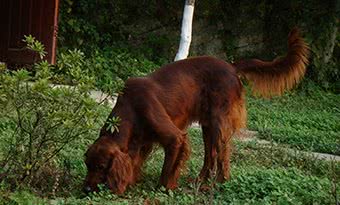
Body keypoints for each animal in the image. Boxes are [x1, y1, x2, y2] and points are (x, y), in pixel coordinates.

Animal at [83, 28, 308, 194]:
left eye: (101, 167)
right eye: (87, 165)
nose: (86, 189)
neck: (130, 108)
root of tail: (232, 66)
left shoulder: (175, 138)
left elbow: (168, 167)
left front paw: (163, 188)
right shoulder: (141, 142)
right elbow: (134, 163)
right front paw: (129, 182)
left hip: (218, 122)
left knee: (222, 154)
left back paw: (219, 183)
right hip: (207, 125)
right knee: (210, 155)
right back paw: (199, 181)